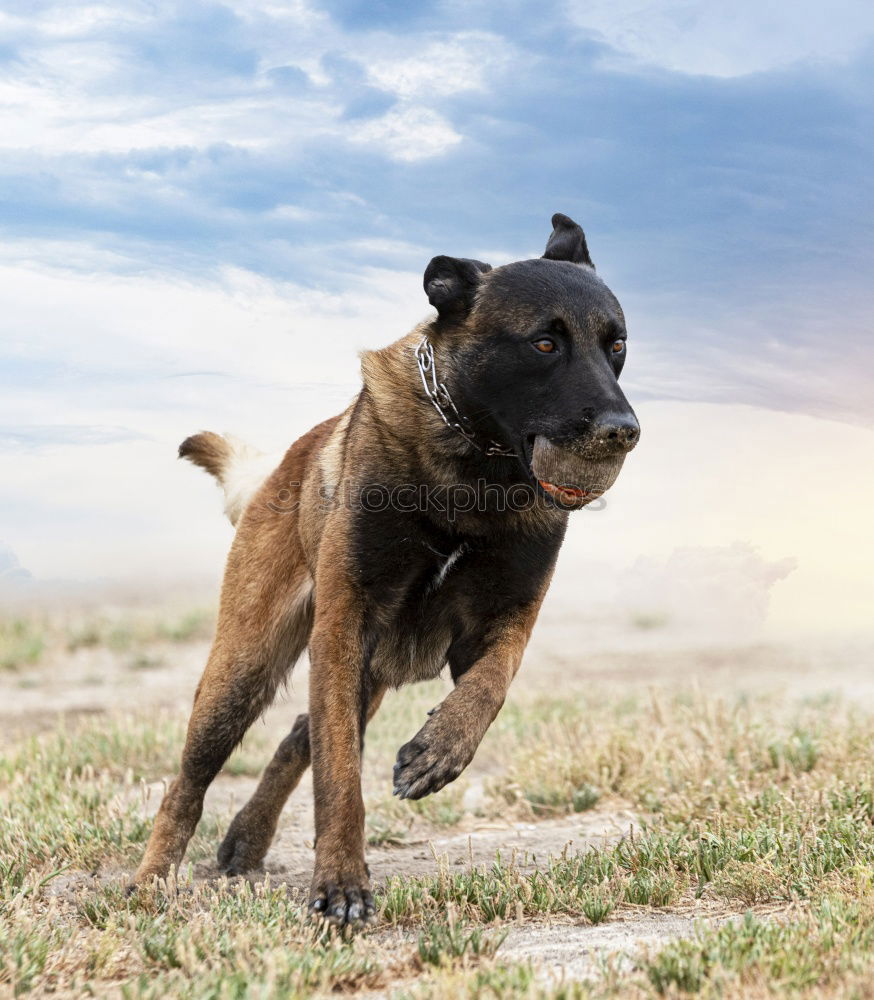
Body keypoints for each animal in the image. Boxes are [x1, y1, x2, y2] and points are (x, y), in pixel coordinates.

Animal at [135, 213, 640, 928]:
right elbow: (339, 774)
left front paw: (440, 750)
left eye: (615, 345)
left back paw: (247, 839)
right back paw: (152, 879)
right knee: (192, 780)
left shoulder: (502, 623)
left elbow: (489, 686)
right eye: (545, 343)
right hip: (245, 670)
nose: (624, 429)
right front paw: (341, 882)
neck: (476, 473)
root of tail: (281, 467)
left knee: (297, 737)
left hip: (361, 670)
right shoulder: (346, 624)